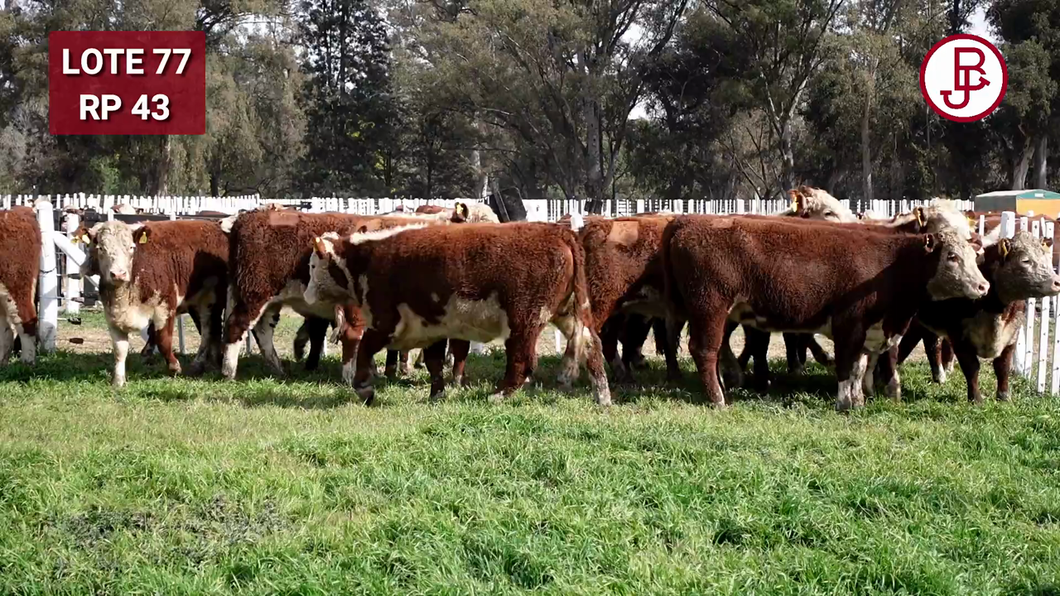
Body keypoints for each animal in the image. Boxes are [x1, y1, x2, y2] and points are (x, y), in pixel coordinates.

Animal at [81, 218, 232, 386]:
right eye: (101, 248)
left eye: (131, 247)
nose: (119, 274)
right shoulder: (113, 316)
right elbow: (120, 350)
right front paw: (118, 381)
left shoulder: (165, 306)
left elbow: (164, 340)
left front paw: (174, 366)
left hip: (211, 300)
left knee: (208, 330)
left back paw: (200, 363)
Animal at [303, 221, 610, 402]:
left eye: (312, 265)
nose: (306, 296)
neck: (368, 259)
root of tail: (558, 231)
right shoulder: (432, 324)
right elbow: (434, 362)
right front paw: (436, 394)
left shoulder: (386, 320)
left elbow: (366, 349)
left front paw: (364, 387)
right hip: (568, 312)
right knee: (592, 346)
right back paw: (602, 396)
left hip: (524, 319)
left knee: (522, 361)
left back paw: (498, 395)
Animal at [665, 215, 987, 411]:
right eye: (952, 257)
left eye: (974, 257)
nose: (983, 285)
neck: (891, 264)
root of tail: (688, 222)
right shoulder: (849, 324)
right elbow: (846, 366)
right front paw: (845, 403)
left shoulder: (871, 329)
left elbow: (859, 366)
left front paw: (858, 399)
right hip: (710, 307)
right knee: (705, 350)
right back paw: (718, 398)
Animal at [877, 230, 1060, 400]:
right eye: (1025, 260)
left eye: (1046, 258)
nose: (1057, 282)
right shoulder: (959, 336)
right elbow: (972, 367)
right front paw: (976, 398)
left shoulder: (1011, 336)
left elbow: (1002, 366)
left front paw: (1004, 396)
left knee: (928, 344)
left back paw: (938, 377)